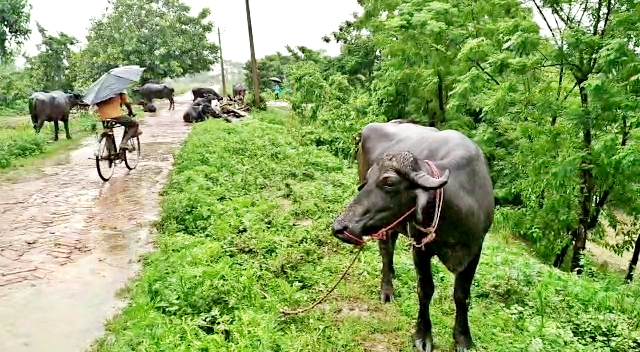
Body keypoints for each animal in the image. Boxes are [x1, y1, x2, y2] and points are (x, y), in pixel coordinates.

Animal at [330, 119, 496, 350]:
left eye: (389, 183)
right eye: (367, 181)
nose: (340, 227)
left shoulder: (474, 250)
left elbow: (462, 295)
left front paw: (463, 338)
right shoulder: (420, 247)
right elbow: (425, 289)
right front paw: (422, 335)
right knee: (386, 250)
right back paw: (387, 291)